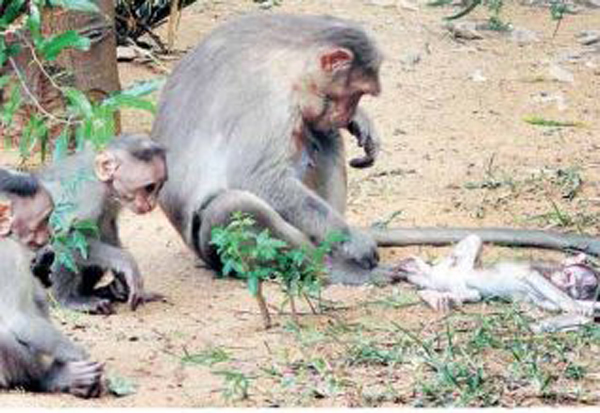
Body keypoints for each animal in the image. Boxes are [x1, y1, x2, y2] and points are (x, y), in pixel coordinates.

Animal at [0, 167, 103, 396]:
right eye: (44, 219)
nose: (50, 234)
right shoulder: (8, 256)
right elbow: (18, 320)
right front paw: (79, 356)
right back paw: (49, 379)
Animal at [154, 12, 600, 284]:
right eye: (355, 93)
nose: (350, 111)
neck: (288, 62)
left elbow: (320, 133)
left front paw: (361, 124)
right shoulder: (265, 99)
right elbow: (257, 178)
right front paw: (354, 242)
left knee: (320, 137)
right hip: (211, 248)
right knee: (231, 205)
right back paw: (340, 268)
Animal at [396, 235, 596, 316]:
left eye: (584, 290)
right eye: (569, 277)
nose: (569, 286)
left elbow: (548, 305)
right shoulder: (542, 269)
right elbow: (531, 275)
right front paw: (573, 305)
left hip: (451, 284)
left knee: (472, 294)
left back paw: (432, 295)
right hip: (449, 271)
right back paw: (425, 266)